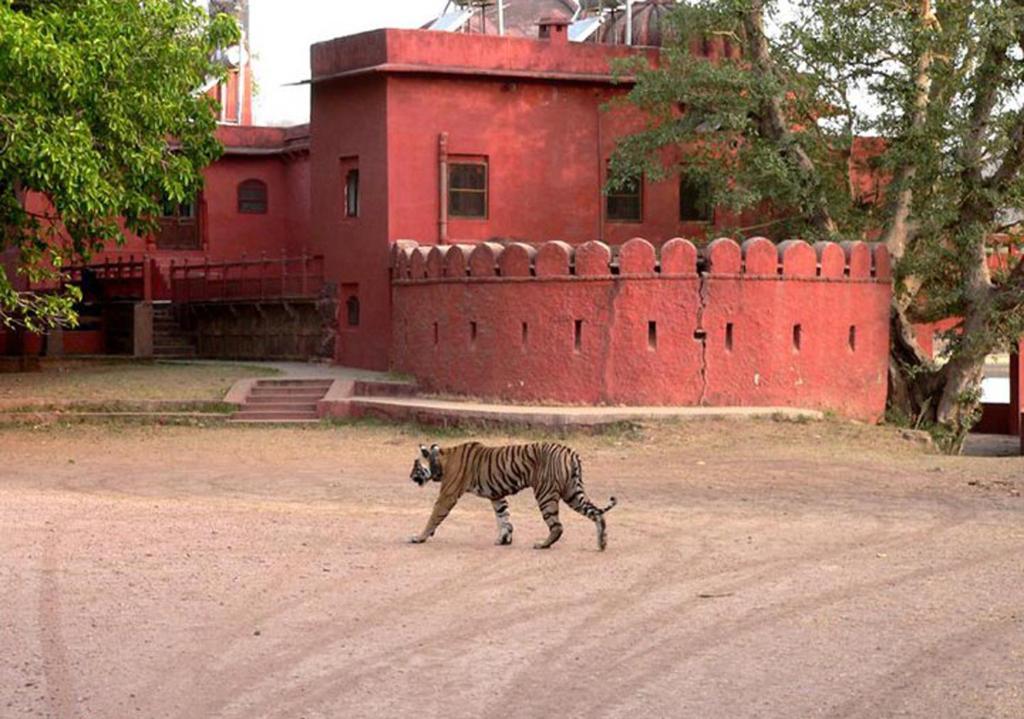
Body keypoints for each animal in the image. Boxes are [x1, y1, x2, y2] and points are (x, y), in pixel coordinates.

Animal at [405, 438, 614, 553]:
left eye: (415, 465)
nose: (409, 476)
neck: (442, 459)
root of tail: (570, 452)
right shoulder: (497, 495)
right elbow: (503, 517)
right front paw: (504, 539)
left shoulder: (448, 495)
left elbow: (433, 517)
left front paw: (419, 537)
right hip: (572, 493)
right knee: (597, 513)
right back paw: (602, 543)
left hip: (545, 494)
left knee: (557, 526)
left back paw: (542, 544)